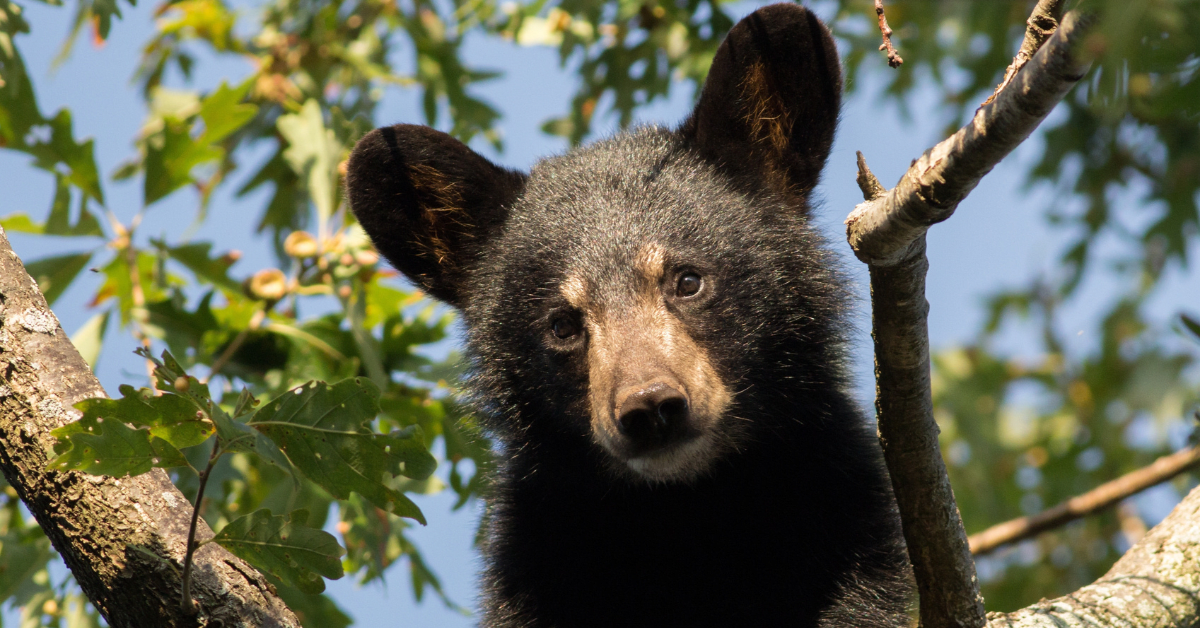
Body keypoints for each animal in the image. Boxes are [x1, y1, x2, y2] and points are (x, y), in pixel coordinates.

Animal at [345, 3, 907, 624]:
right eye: (562, 325)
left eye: (687, 280)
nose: (651, 409)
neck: (688, 511)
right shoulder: (536, 564)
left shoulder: (844, 522)